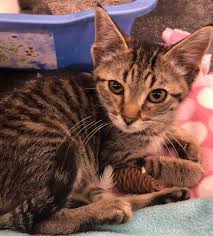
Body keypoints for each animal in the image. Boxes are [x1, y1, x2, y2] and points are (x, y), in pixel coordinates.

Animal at [0, 6, 212, 235]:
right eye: (116, 87)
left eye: (157, 95)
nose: (128, 118)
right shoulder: (112, 158)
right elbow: (151, 160)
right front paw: (189, 170)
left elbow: (169, 129)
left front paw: (190, 146)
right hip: (62, 148)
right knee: (44, 222)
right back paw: (112, 207)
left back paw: (164, 196)